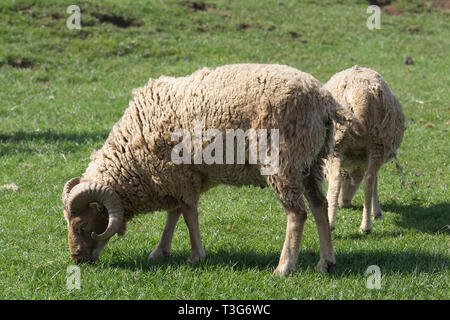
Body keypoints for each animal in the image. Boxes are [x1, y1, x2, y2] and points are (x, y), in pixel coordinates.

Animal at [322, 66, 406, 234]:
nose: (344, 204)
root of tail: (358, 94)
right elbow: (375, 182)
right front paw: (377, 212)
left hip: (340, 141)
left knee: (338, 179)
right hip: (375, 141)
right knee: (368, 180)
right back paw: (366, 226)